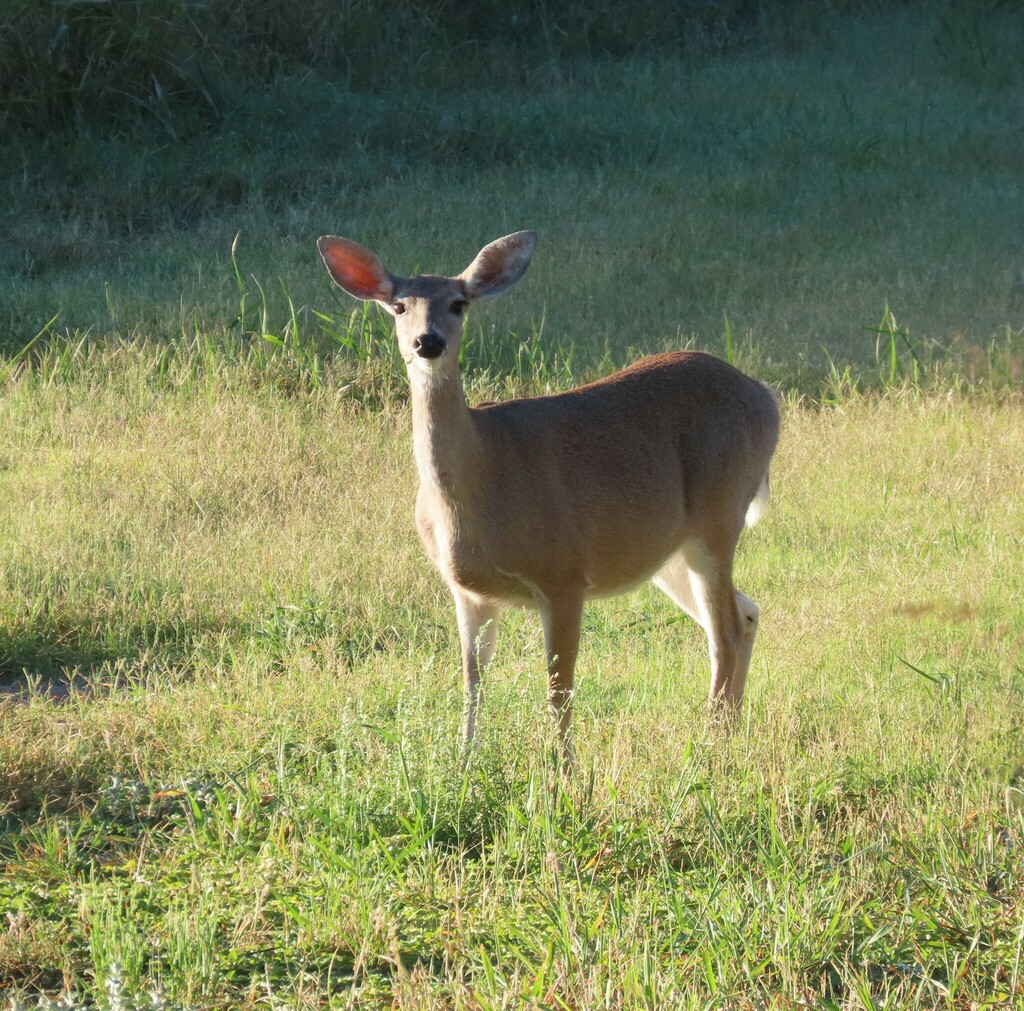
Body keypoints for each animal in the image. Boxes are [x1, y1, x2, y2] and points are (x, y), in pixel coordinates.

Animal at [317, 230, 780, 764]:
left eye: (458, 304)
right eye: (398, 306)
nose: (427, 342)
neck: (480, 484)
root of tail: (767, 398)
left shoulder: (564, 572)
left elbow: (559, 685)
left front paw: (564, 767)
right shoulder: (467, 591)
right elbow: (472, 680)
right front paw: (465, 758)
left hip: (719, 515)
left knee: (726, 629)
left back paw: (709, 743)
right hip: (664, 549)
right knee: (744, 612)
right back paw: (730, 731)